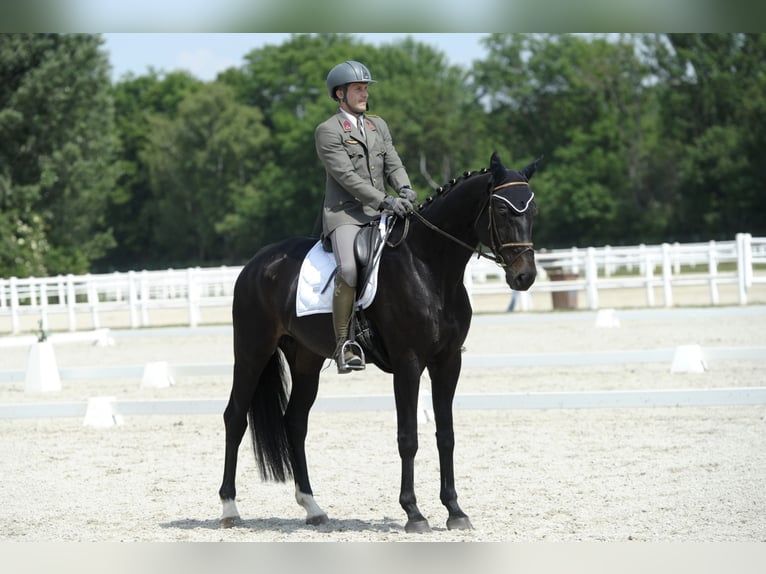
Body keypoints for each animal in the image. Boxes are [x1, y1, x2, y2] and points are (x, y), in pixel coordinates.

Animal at [219, 152, 544, 536]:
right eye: (503, 210)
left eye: (532, 210)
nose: (524, 277)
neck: (430, 266)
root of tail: (257, 263)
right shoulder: (408, 363)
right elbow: (408, 437)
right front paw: (414, 513)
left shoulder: (448, 361)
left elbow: (446, 434)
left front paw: (455, 511)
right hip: (252, 352)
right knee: (235, 417)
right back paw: (229, 509)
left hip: (305, 360)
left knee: (295, 422)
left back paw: (313, 508)